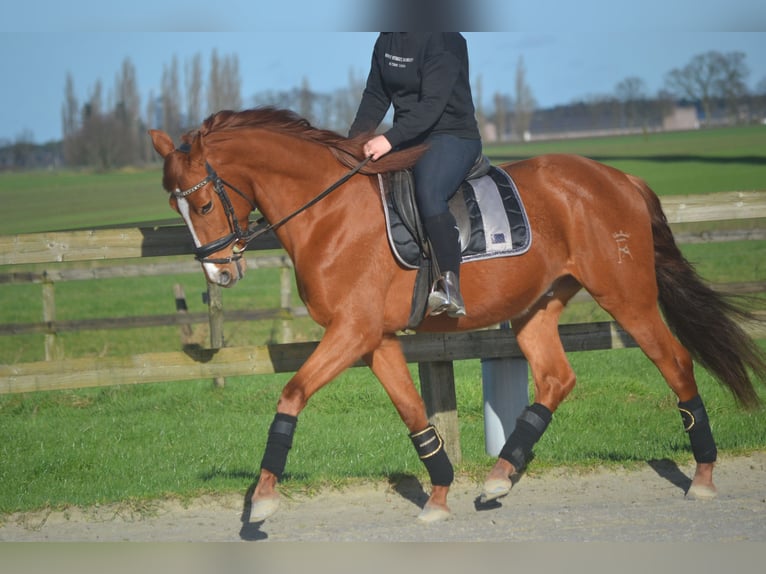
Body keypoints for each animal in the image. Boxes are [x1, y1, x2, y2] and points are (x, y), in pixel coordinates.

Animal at [148, 108, 760, 528]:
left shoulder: (351, 332)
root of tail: (618, 178)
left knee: (676, 363)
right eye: (175, 205)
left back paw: (704, 476)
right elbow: (414, 413)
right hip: (536, 308)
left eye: (202, 204)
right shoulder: (374, 339)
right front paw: (440, 494)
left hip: (626, 297)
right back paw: (499, 479)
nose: (219, 273)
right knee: (557, 379)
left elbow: (293, 393)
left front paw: (262, 500)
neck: (328, 212)